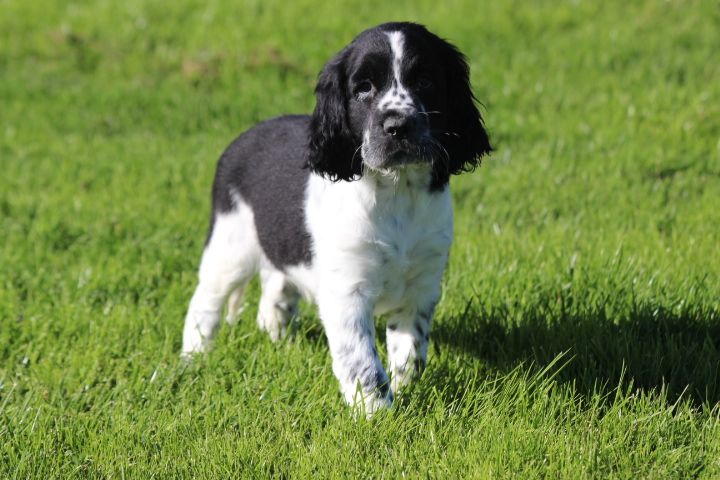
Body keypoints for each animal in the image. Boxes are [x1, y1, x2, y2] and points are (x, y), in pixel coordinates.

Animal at [183, 21, 492, 412]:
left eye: (425, 81)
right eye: (364, 88)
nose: (398, 126)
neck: (396, 191)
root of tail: (243, 137)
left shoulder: (421, 285)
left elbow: (411, 352)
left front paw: (404, 390)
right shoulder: (348, 291)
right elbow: (362, 361)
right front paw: (377, 414)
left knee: (275, 290)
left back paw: (280, 340)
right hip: (230, 244)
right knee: (205, 302)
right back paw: (194, 358)